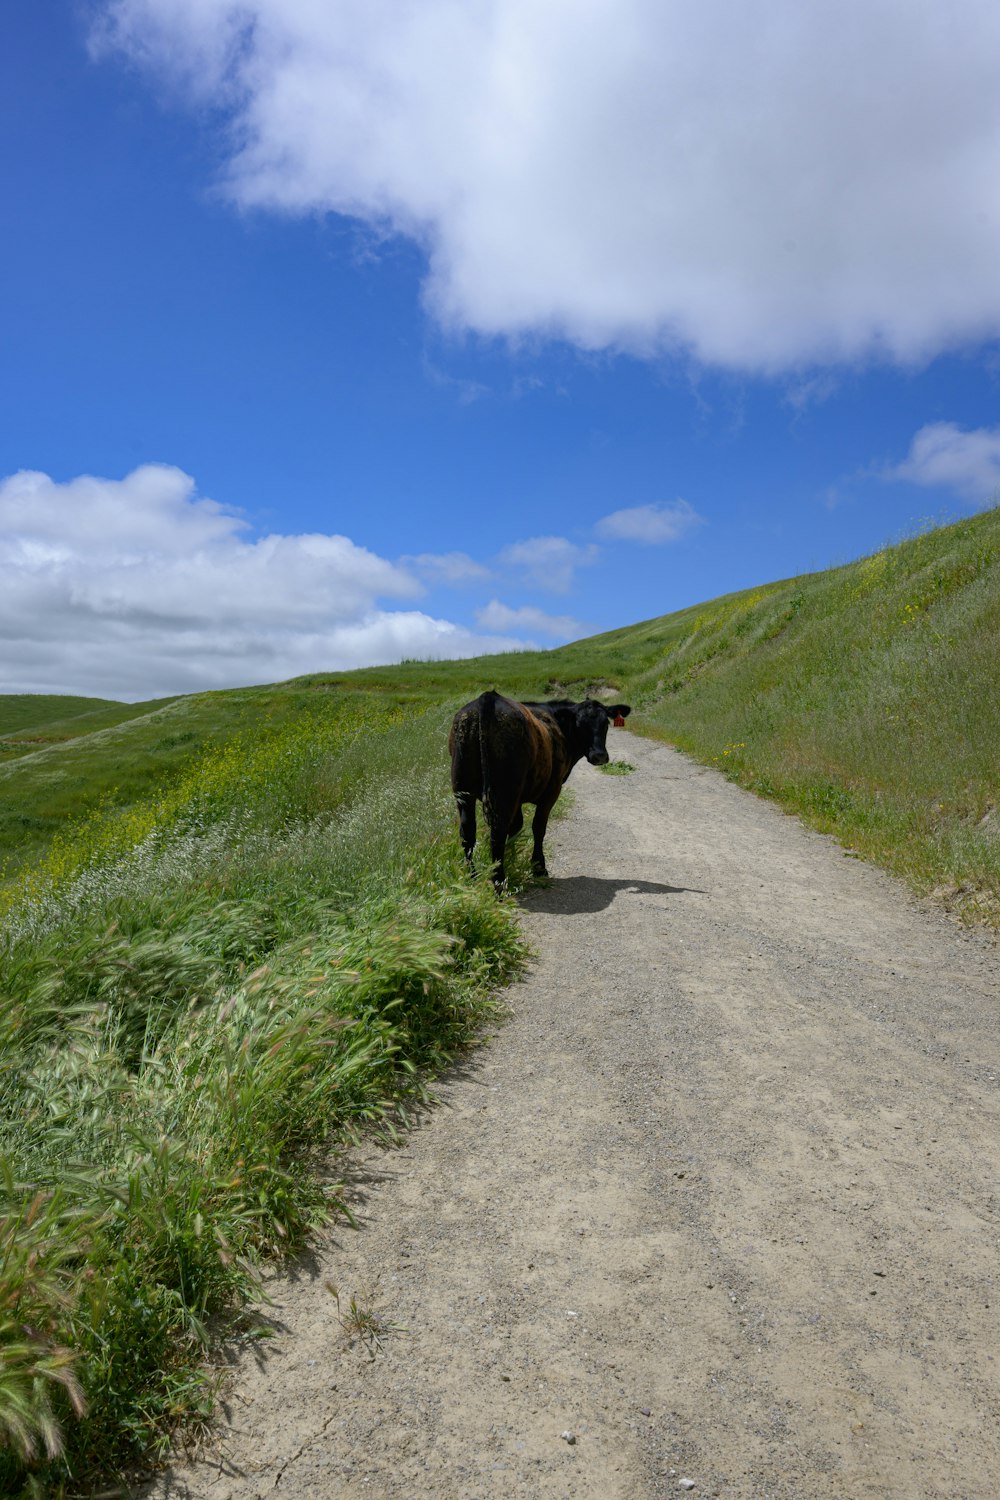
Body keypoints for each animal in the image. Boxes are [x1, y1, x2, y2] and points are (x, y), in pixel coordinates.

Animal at [452, 693, 632, 888]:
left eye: (606, 723)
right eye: (579, 724)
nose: (599, 756)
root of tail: (489, 697)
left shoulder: (518, 798)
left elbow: (516, 826)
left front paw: (513, 859)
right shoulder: (552, 790)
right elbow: (538, 827)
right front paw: (538, 867)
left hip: (463, 789)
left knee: (468, 832)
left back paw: (472, 876)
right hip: (504, 791)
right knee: (498, 831)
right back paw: (499, 882)